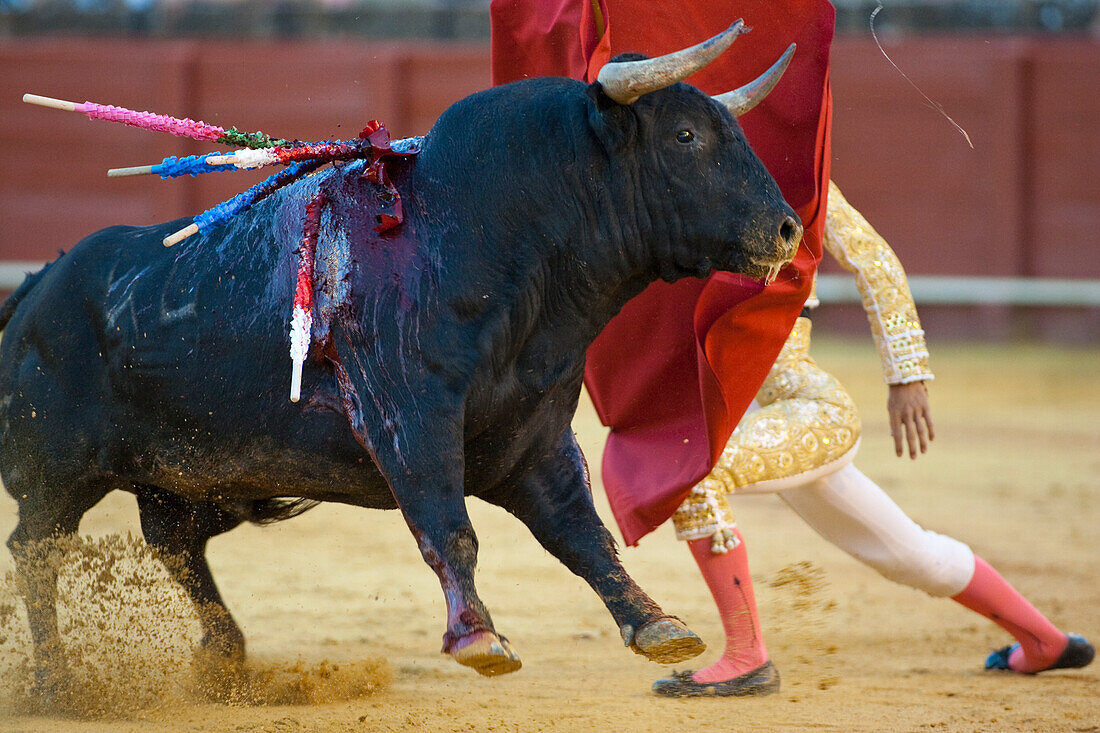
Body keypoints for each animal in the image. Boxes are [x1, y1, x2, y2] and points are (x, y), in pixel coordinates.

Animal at [0, 41, 800, 677]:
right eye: (686, 135)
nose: (789, 229)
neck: (479, 235)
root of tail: (40, 285)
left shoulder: (535, 435)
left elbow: (581, 532)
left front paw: (659, 624)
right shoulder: (409, 418)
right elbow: (450, 527)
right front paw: (478, 638)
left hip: (191, 478)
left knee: (174, 547)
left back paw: (225, 656)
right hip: (56, 474)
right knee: (37, 550)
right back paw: (58, 682)